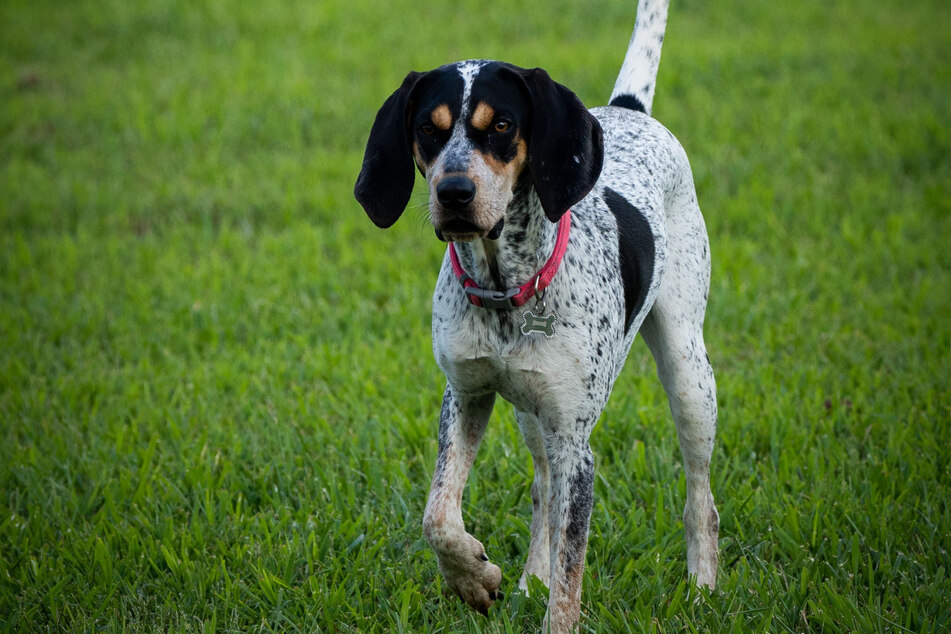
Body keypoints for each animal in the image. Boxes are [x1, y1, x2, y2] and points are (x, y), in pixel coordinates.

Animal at [354, 1, 716, 628]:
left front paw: (548, 609)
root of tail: (627, 110)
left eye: (501, 125)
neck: (504, 290)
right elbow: (438, 517)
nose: (453, 192)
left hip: (688, 375)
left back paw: (701, 588)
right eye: (428, 127)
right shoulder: (467, 395)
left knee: (701, 497)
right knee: (543, 493)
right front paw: (476, 579)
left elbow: (571, 580)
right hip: (532, 415)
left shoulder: (576, 444)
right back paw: (529, 581)